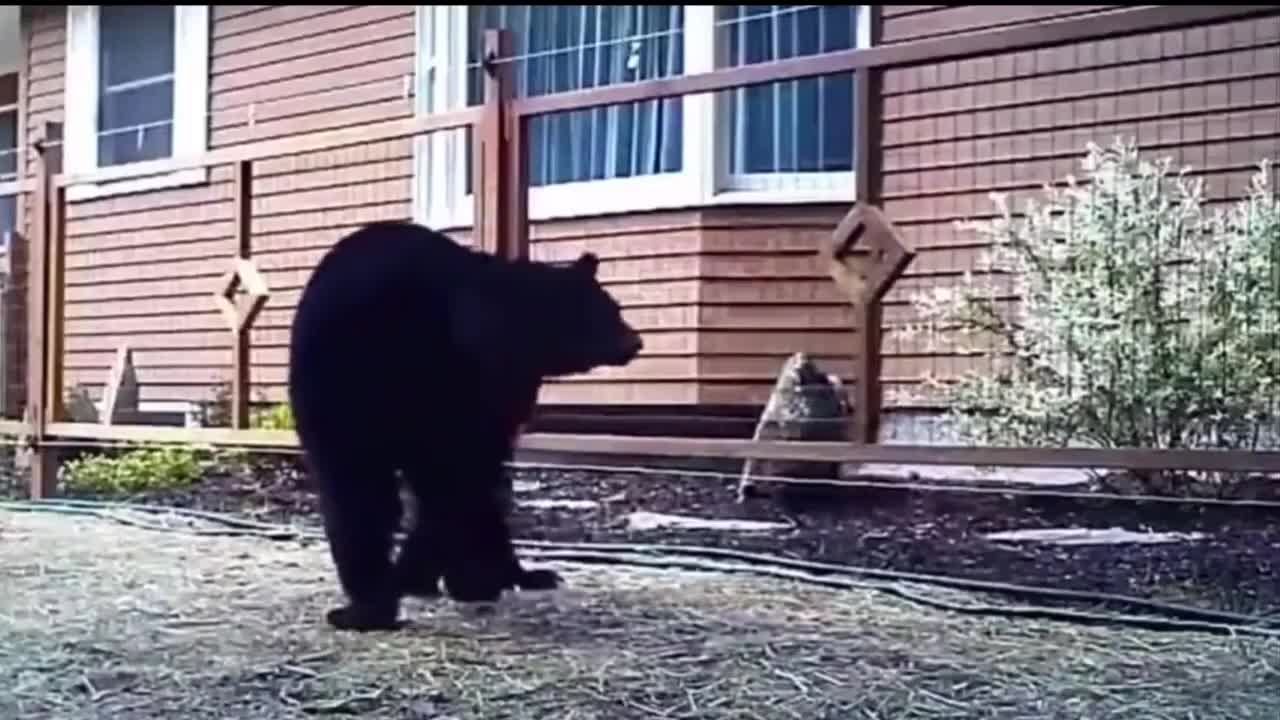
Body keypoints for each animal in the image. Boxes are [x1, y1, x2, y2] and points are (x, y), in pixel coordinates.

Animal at [289, 219, 640, 627]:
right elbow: (473, 480)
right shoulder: (490, 396)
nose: (636, 341)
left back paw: (369, 603)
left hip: (337, 407)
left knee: (355, 496)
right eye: (609, 311)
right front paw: (482, 576)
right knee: (436, 490)